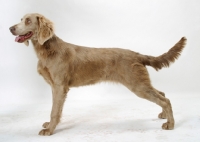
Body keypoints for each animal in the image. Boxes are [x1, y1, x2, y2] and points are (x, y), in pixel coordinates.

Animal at [9, 13, 187, 135]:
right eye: (21, 19)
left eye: (28, 21)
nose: (11, 28)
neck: (48, 50)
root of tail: (137, 55)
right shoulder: (55, 87)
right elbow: (56, 110)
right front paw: (50, 125)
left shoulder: (60, 86)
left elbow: (54, 111)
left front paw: (50, 130)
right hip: (140, 83)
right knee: (162, 94)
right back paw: (164, 116)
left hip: (137, 85)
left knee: (165, 99)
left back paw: (170, 125)